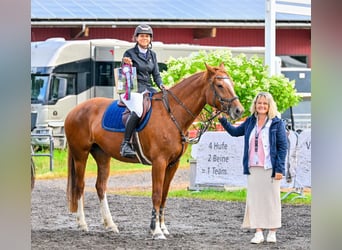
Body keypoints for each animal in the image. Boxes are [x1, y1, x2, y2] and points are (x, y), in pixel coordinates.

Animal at [65, 62, 243, 238]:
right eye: (220, 85)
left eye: (232, 84)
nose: (239, 110)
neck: (172, 115)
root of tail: (74, 110)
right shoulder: (159, 162)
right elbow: (156, 194)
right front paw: (156, 230)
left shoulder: (173, 164)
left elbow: (164, 195)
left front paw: (162, 227)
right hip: (81, 155)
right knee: (80, 186)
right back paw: (83, 224)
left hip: (102, 155)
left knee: (100, 187)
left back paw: (110, 225)